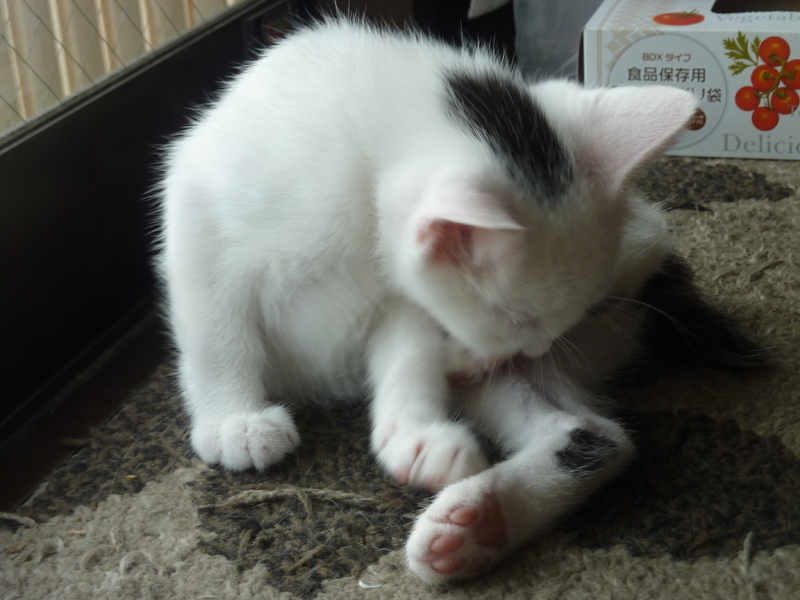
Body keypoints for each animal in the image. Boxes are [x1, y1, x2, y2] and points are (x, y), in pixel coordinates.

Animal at [157, 18, 761, 584]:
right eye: (516, 318)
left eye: (573, 318)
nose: (528, 351)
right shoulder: (199, 213)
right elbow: (215, 330)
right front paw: (234, 420)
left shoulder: (404, 303)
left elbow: (407, 358)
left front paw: (415, 438)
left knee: (601, 435)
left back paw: (478, 520)